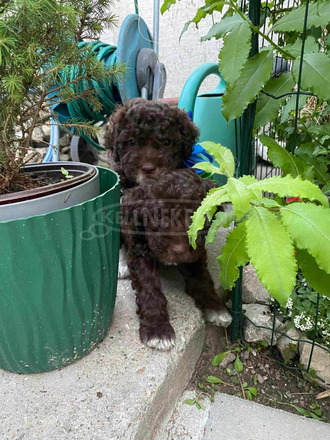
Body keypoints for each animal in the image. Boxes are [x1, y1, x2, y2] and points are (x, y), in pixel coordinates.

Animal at [121, 168, 232, 350]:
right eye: (159, 216)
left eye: (196, 216)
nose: (178, 250)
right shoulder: (141, 249)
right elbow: (149, 288)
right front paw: (157, 329)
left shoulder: (196, 252)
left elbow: (202, 278)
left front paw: (215, 306)